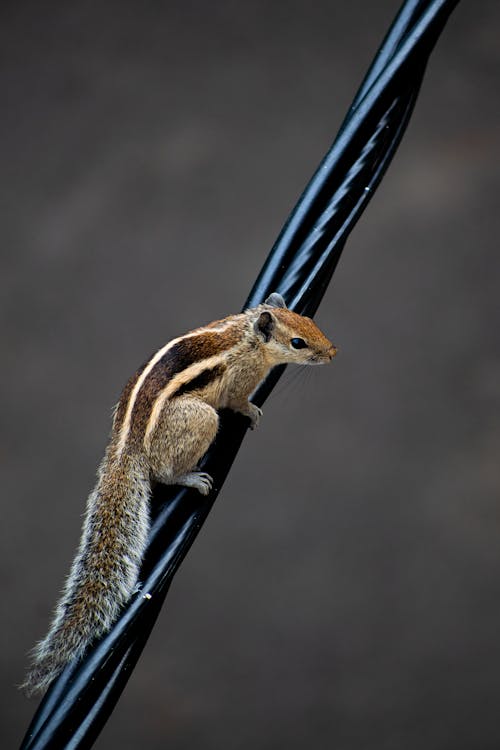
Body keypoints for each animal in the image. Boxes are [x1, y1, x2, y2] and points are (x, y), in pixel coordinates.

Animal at [22, 294, 336, 700]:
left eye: (310, 322)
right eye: (298, 342)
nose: (332, 352)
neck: (247, 336)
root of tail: (126, 448)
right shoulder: (240, 380)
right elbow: (238, 401)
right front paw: (251, 411)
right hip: (200, 419)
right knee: (167, 471)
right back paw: (191, 478)